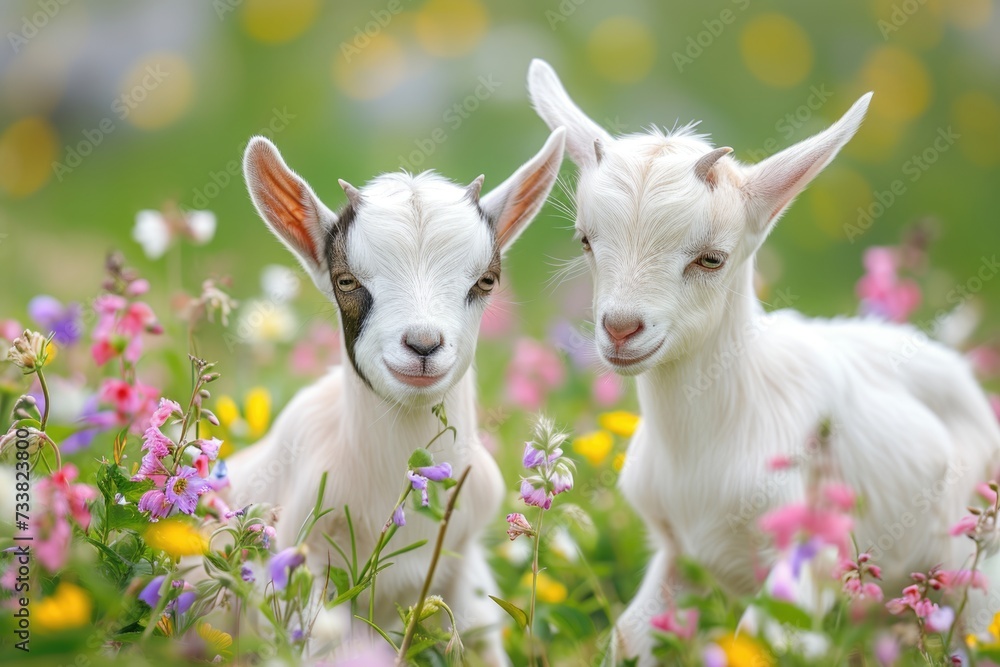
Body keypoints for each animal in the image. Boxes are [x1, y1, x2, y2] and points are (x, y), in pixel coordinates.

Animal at [226, 127, 566, 664]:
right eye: (346, 280)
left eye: (486, 280)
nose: (423, 345)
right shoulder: (306, 573)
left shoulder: (462, 566)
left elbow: (478, 631)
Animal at [527, 58, 1000, 663]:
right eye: (585, 240)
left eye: (712, 258)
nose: (620, 328)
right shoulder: (677, 551)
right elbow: (628, 634)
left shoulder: (803, 559)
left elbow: (754, 640)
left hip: (973, 561)